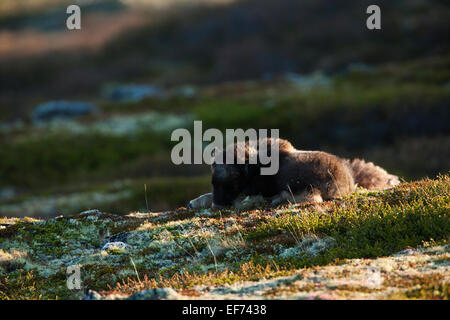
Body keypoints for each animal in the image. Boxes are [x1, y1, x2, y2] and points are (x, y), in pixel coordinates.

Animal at [188, 138, 400, 210]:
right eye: (212, 181)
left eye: (233, 180)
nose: (217, 205)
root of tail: (346, 181)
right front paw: (194, 202)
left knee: (312, 197)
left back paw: (277, 199)